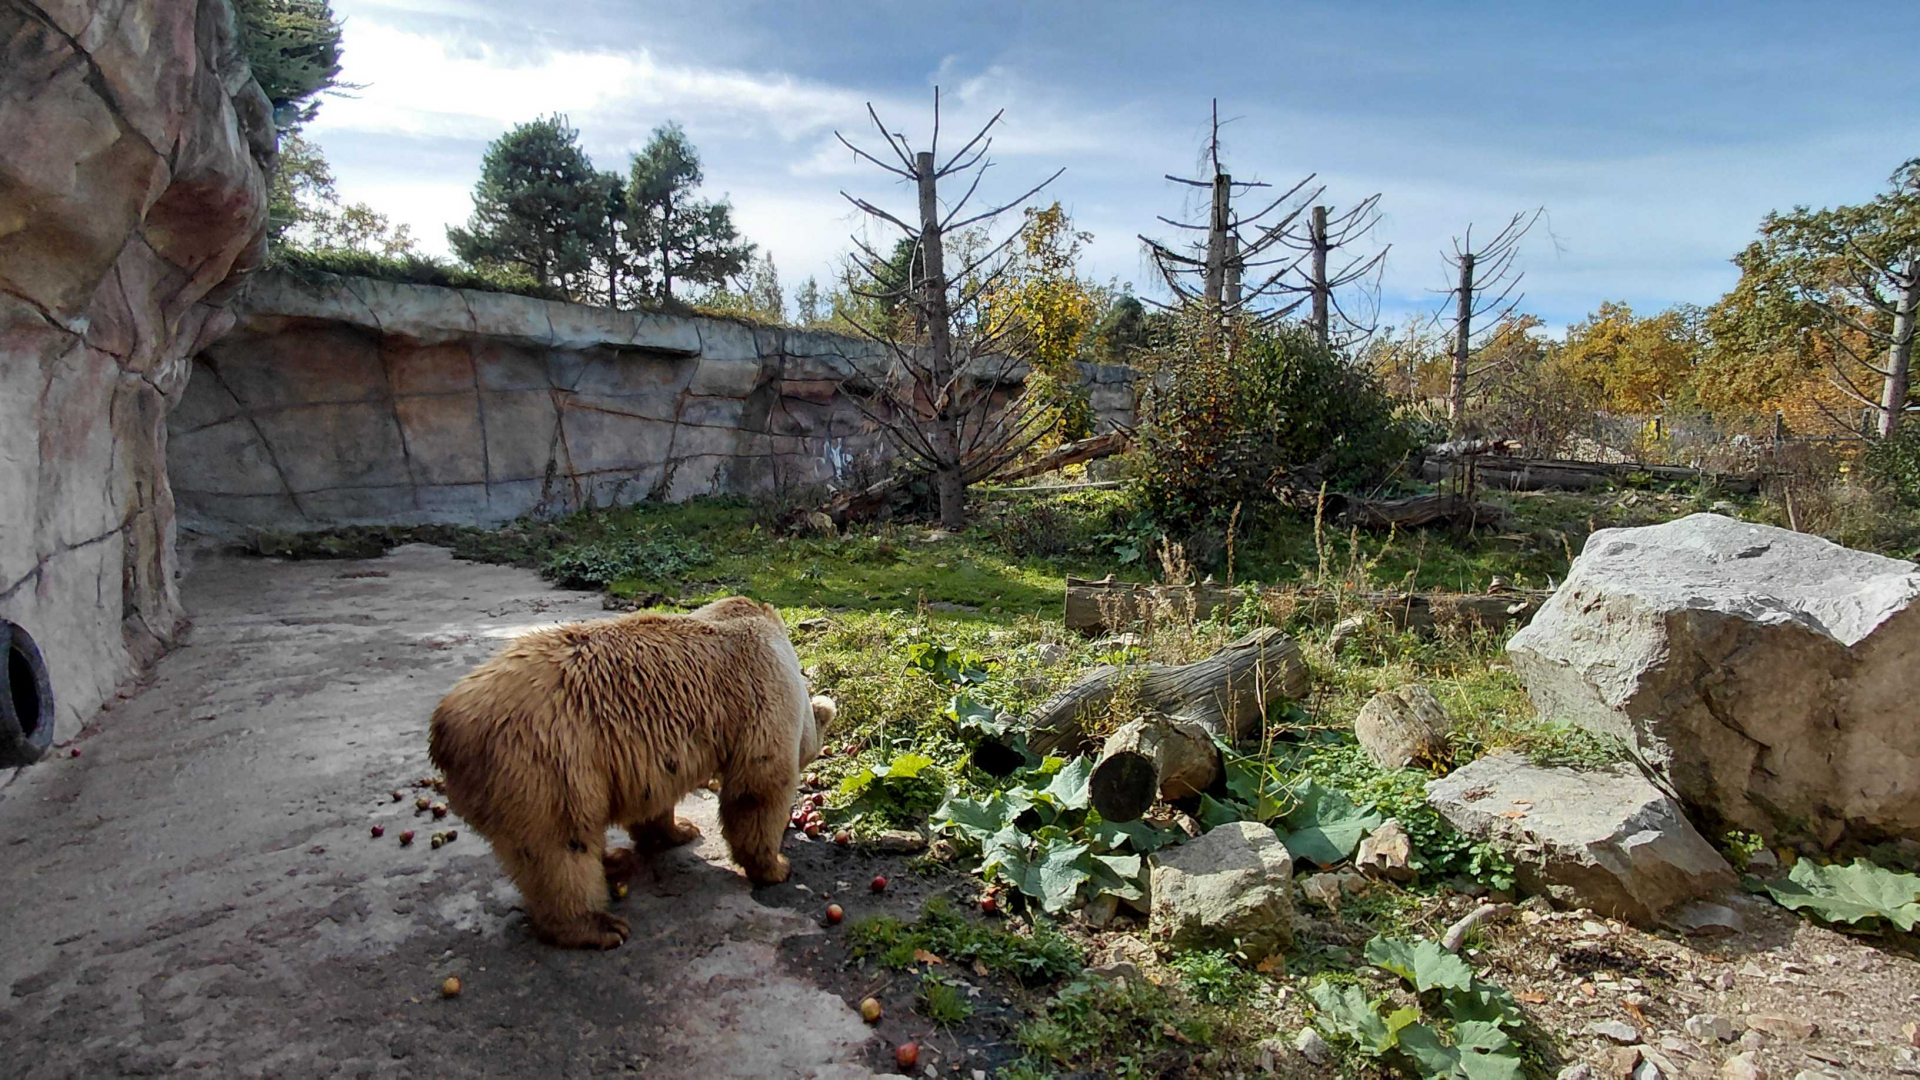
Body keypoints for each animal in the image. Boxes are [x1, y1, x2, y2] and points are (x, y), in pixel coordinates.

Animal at [427, 596, 830, 949]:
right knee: (561, 847)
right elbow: (759, 785)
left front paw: (680, 829)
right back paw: (597, 925)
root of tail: (446, 728)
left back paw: (612, 860)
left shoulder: (656, 751)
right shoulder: (762, 694)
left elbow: (655, 797)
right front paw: (776, 866)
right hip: (547, 762)